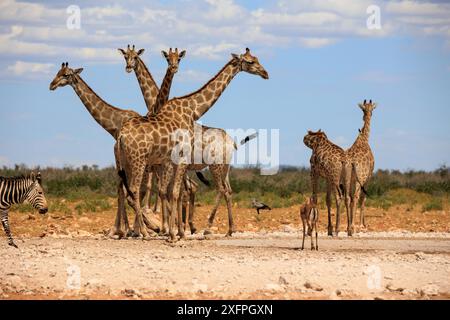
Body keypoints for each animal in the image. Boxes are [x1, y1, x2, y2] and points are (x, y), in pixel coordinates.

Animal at [48, 62, 161, 238]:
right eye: (57, 72)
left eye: (66, 75)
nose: (51, 85)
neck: (114, 123)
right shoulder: (120, 156)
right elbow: (122, 189)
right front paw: (123, 229)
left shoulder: (118, 154)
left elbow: (123, 190)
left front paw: (124, 229)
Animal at [116, 48, 268, 241]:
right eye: (250, 61)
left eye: (256, 58)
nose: (265, 73)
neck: (191, 110)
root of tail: (121, 135)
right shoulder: (178, 159)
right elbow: (173, 193)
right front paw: (174, 233)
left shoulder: (174, 162)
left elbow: (175, 193)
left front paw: (176, 232)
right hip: (140, 160)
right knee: (134, 190)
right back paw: (144, 232)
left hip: (131, 162)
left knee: (224, 189)